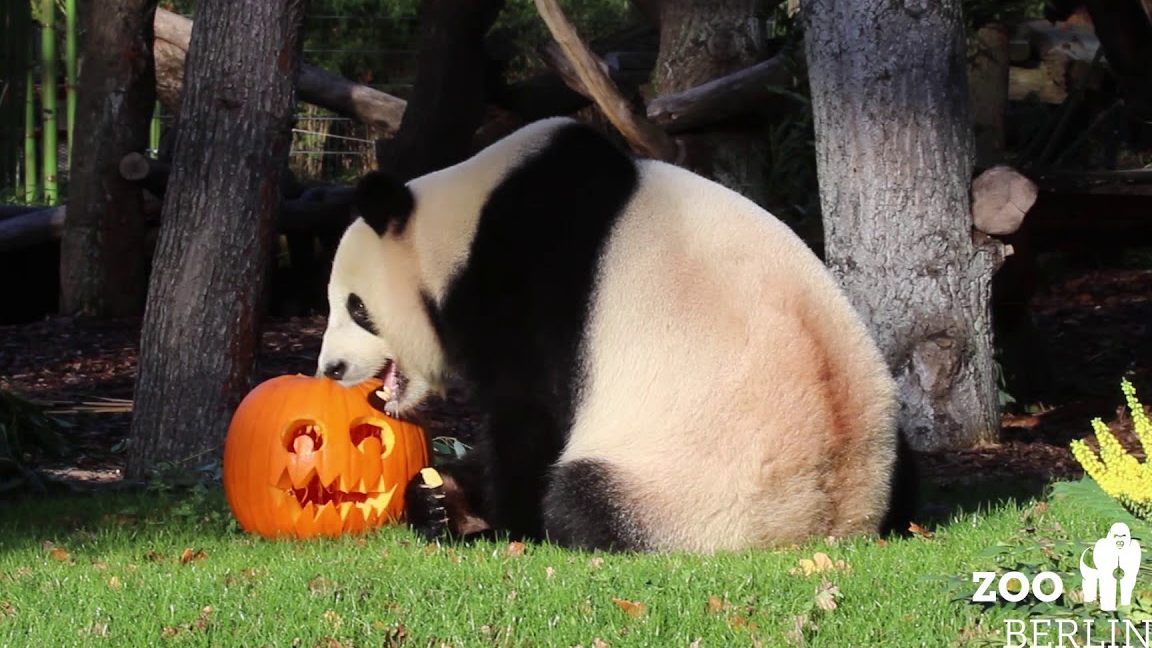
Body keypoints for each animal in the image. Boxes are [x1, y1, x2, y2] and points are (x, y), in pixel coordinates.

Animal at [316, 117, 905, 553]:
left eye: (355, 307)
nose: (330, 368)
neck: (458, 231)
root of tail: (831, 521)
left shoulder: (524, 283)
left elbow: (528, 418)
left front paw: (490, 520)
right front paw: (440, 500)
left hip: (697, 489)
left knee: (582, 501)